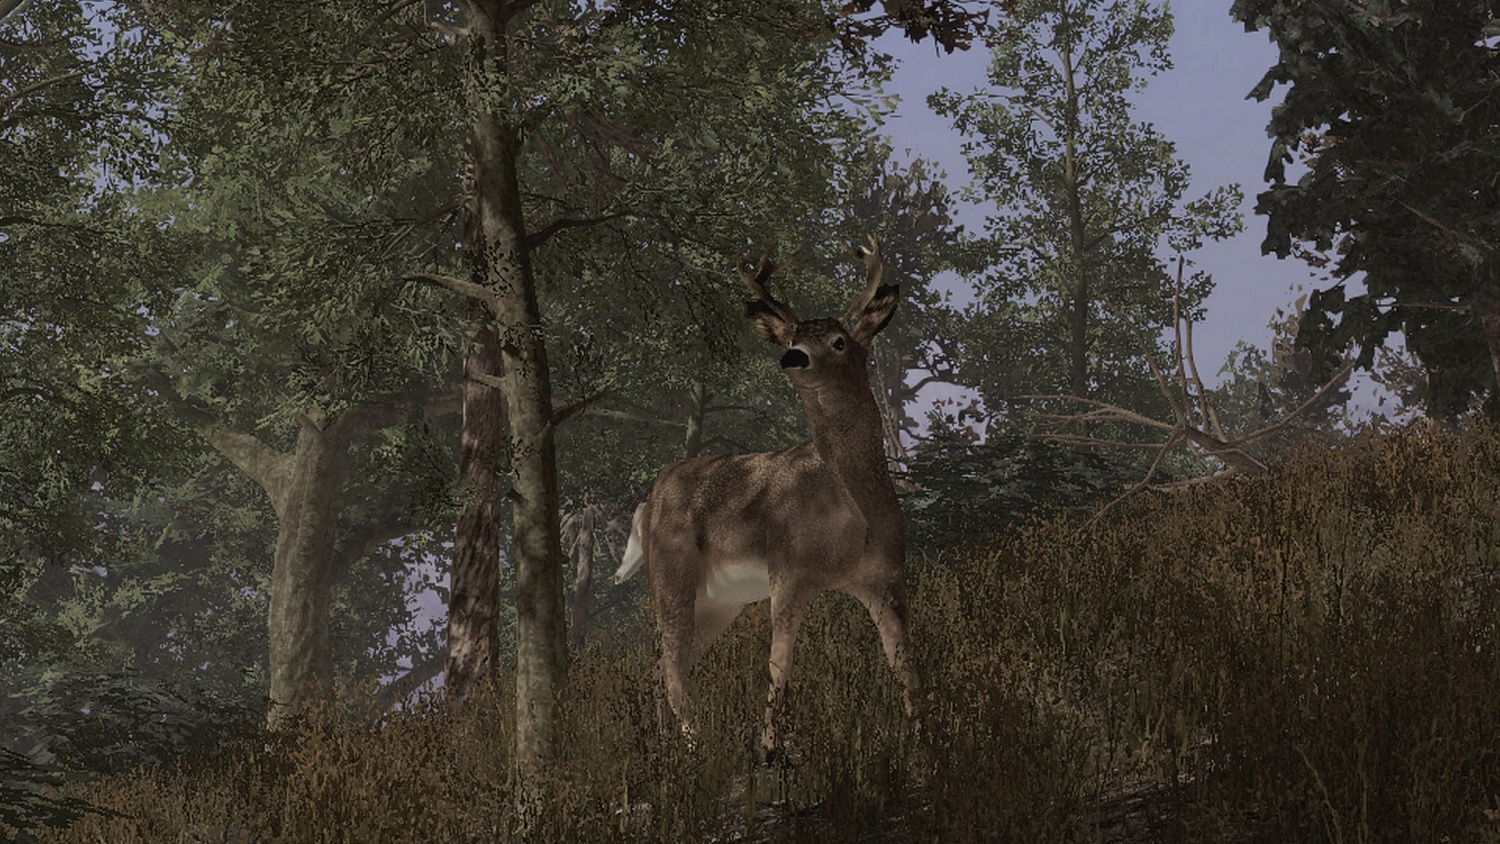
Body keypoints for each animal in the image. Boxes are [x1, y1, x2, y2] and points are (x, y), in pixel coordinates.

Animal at [613, 237, 916, 762]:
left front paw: (925, 734)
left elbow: (904, 661)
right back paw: (698, 749)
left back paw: (666, 754)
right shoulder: (789, 569)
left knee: (660, 667)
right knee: (671, 669)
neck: (855, 514)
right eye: (793, 335)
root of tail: (647, 501)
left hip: (720, 601)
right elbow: (779, 665)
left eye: (839, 340)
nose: (793, 357)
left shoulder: (882, 576)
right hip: (671, 572)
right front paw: (770, 750)